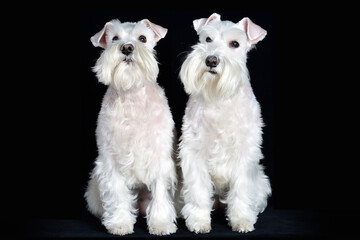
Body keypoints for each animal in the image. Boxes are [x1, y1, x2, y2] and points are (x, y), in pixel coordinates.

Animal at [86, 18, 179, 236]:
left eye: (142, 38)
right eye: (114, 38)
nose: (127, 47)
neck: (131, 95)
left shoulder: (159, 159)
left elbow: (160, 193)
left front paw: (161, 224)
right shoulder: (111, 160)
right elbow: (117, 193)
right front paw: (120, 223)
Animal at [179, 12, 272, 232]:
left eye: (235, 44)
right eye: (207, 39)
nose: (211, 60)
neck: (219, 98)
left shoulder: (244, 154)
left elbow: (241, 190)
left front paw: (242, 220)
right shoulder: (194, 151)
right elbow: (197, 191)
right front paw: (199, 220)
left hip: (262, 181)